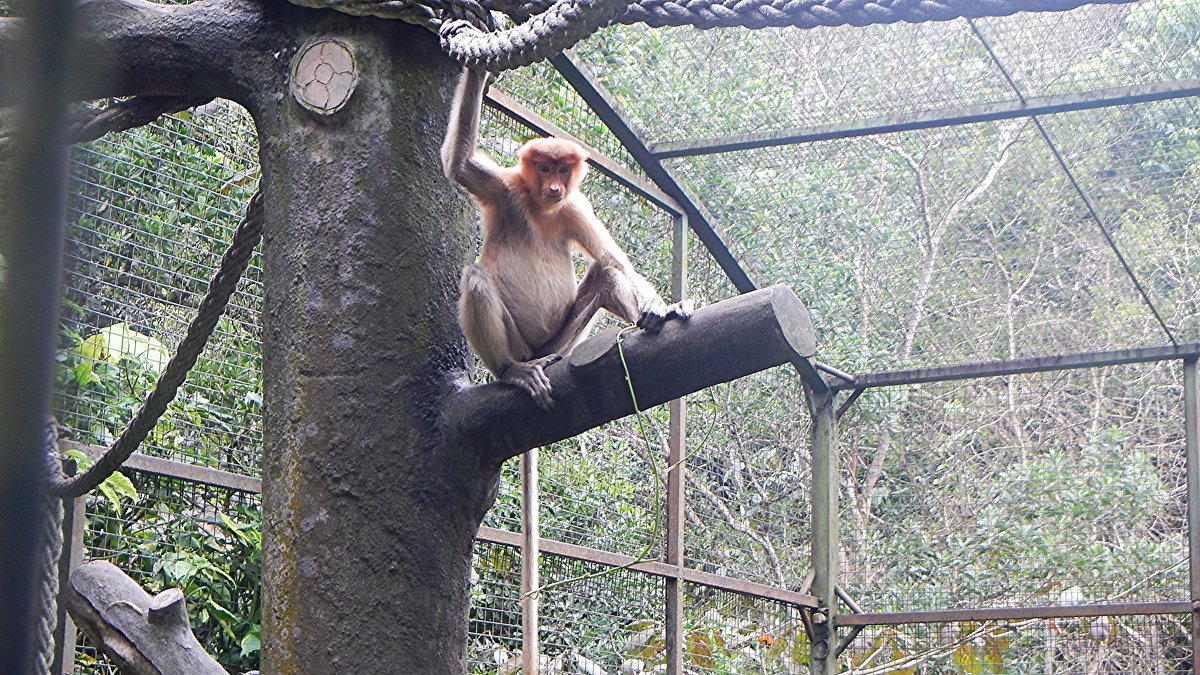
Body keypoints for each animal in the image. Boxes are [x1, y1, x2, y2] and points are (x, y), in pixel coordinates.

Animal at [441, 68, 691, 408]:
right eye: (545, 168)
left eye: (562, 170)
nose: (555, 188)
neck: (541, 209)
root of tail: (536, 352)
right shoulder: (507, 188)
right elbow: (461, 166)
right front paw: (479, 72)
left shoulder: (575, 208)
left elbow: (614, 261)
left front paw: (658, 306)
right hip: (520, 345)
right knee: (477, 278)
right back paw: (512, 371)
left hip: (560, 345)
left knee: (606, 276)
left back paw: (652, 320)